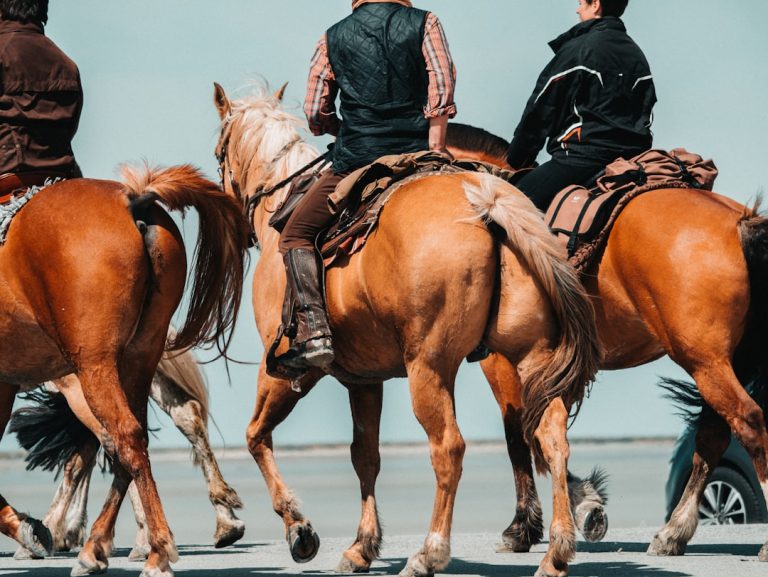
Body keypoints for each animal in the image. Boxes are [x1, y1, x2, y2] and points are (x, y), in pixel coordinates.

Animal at [212, 82, 601, 577]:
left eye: (219, 154)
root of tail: (487, 204)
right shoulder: (363, 380)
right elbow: (365, 457)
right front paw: (361, 546)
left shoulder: (286, 369)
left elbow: (256, 436)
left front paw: (300, 529)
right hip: (531, 356)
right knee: (550, 437)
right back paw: (557, 551)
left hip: (430, 367)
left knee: (449, 447)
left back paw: (428, 552)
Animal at [446, 122, 768, 564]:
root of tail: (741, 221)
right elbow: (545, 431)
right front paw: (586, 504)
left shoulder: (503, 363)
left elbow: (520, 435)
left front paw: (524, 527)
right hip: (722, 360)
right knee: (714, 434)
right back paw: (672, 533)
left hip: (705, 360)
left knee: (748, 423)